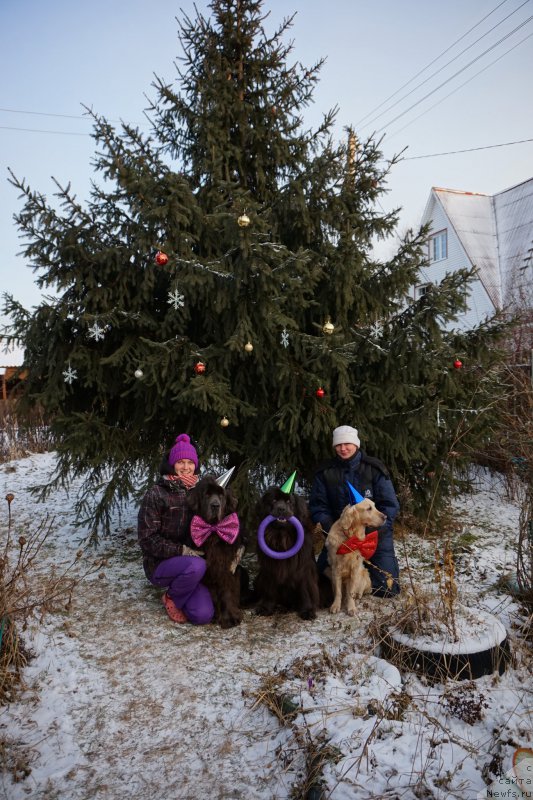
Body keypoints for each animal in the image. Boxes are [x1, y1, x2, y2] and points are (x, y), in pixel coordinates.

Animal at [254, 488, 320, 620]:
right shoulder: (269, 569)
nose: (281, 509)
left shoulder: (304, 569)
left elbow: (304, 590)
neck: (282, 538)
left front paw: (307, 610)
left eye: (289, 502)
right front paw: (265, 607)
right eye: (274, 500)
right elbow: (269, 589)